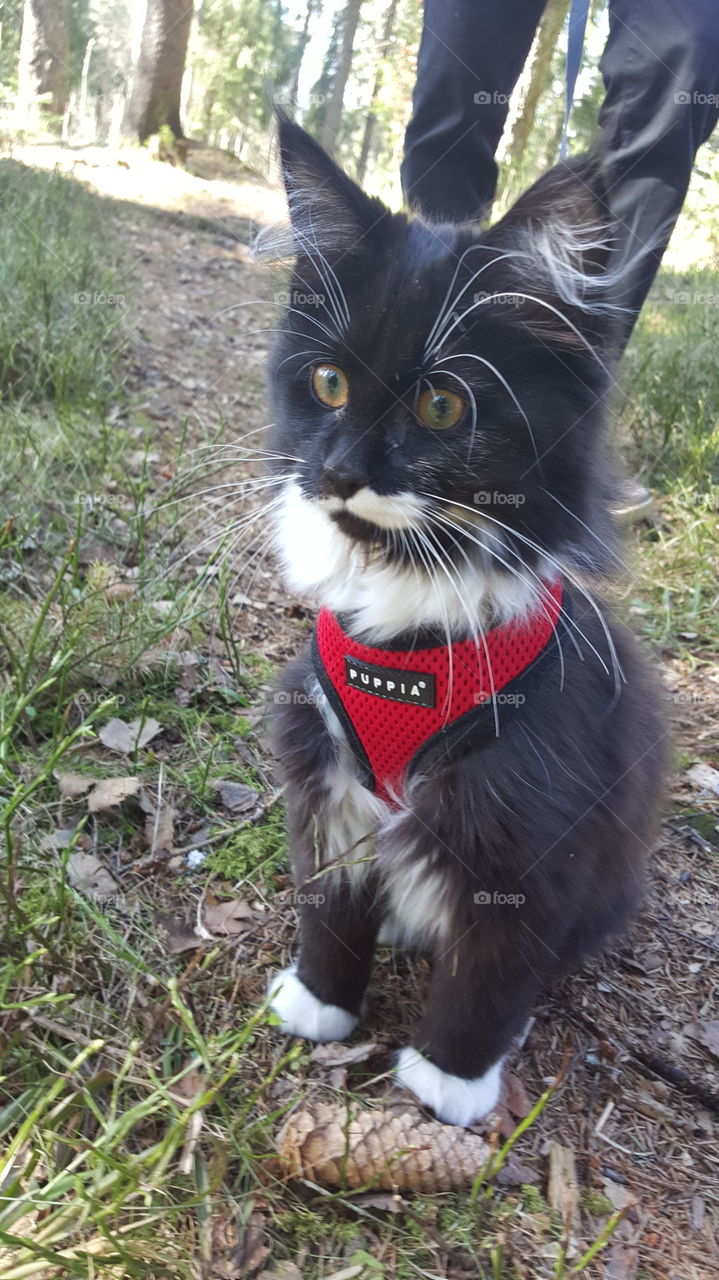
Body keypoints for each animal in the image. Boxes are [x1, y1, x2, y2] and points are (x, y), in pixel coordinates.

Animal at [257, 117, 660, 1121]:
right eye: (326, 384)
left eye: (442, 405)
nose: (338, 471)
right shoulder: (327, 779)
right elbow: (327, 905)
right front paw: (319, 1002)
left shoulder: (529, 826)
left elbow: (493, 969)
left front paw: (450, 1079)